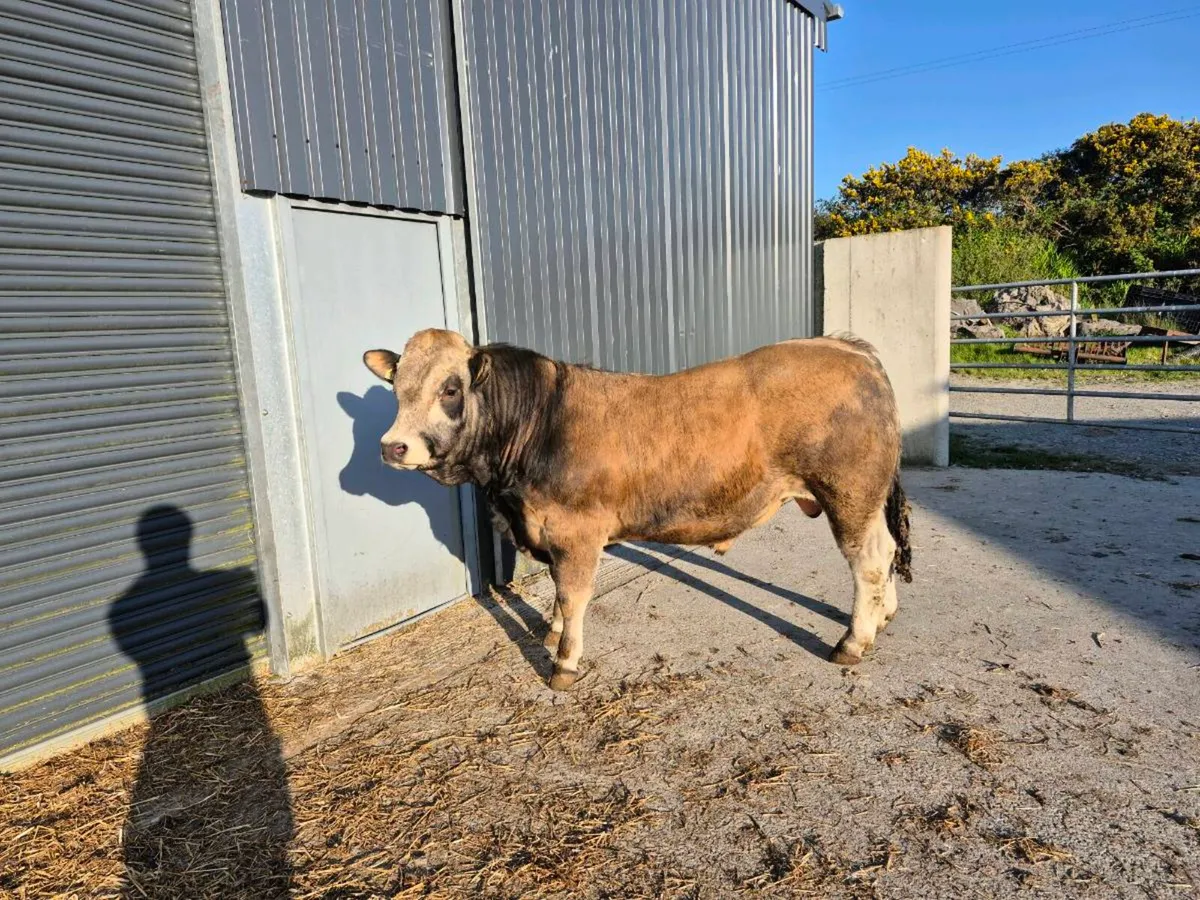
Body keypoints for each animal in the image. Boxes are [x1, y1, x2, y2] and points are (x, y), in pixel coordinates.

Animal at [363, 329, 912, 690]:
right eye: (396, 386)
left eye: (450, 388)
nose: (392, 447)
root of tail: (845, 346)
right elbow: (559, 594)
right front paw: (552, 629)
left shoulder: (576, 531)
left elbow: (574, 595)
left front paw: (564, 663)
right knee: (885, 553)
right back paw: (884, 617)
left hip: (850, 493)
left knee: (867, 560)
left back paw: (852, 642)